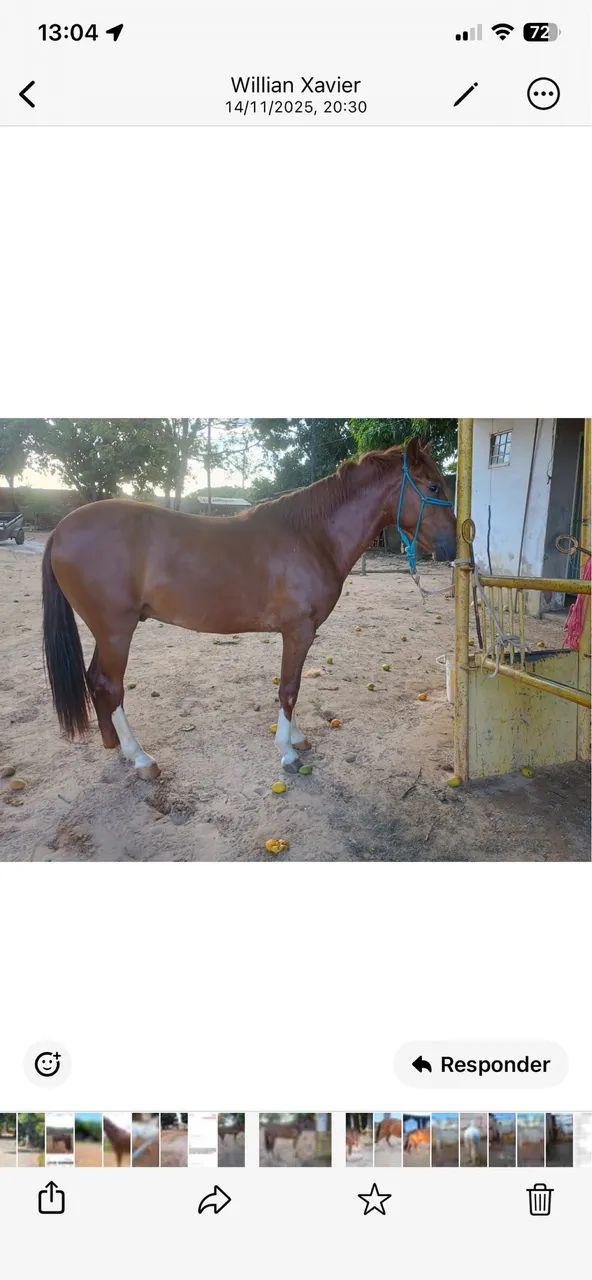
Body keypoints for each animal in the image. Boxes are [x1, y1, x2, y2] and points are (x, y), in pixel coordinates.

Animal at [41, 439, 456, 779]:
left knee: (96, 680)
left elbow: (292, 686)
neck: (310, 536)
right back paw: (140, 757)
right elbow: (289, 688)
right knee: (110, 685)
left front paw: (296, 738)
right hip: (116, 630)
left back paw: (114, 745)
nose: (454, 545)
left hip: (106, 632)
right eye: (434, 487)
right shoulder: (298, 631)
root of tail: (61, 529)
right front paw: (287, 753)